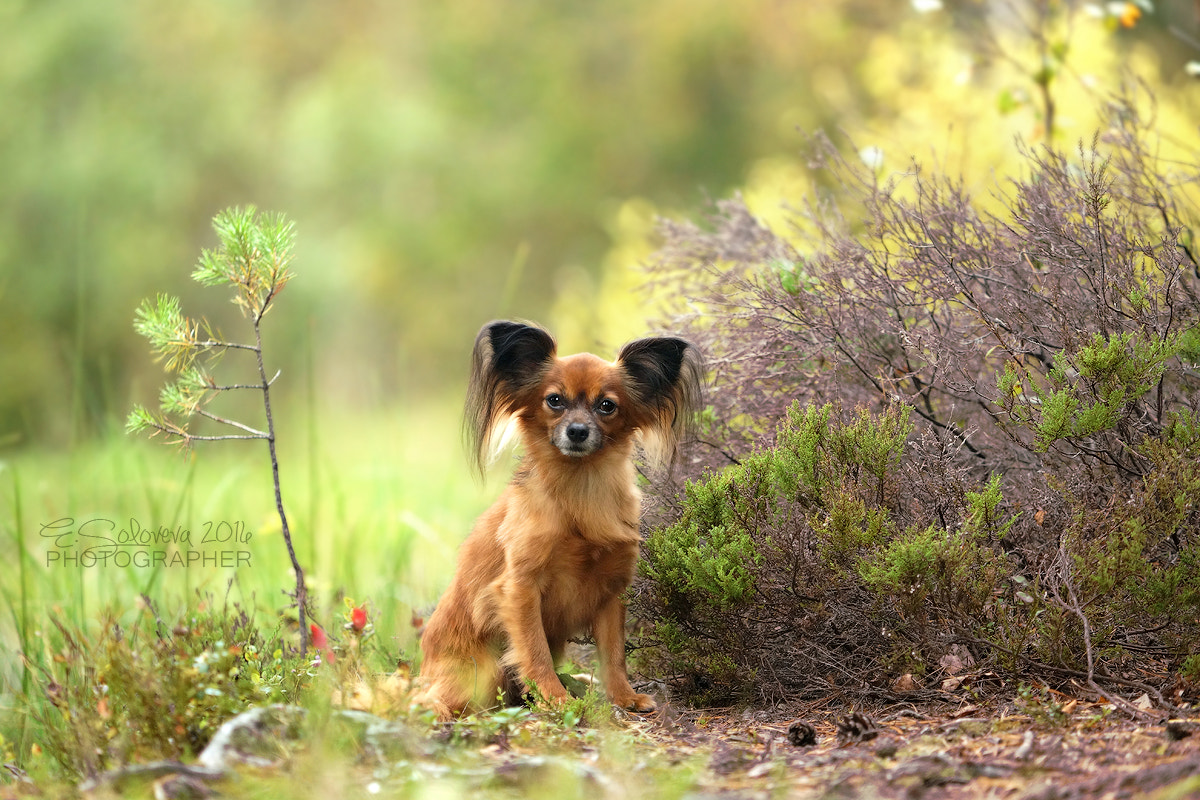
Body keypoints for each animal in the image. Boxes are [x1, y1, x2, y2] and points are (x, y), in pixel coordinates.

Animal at [417, 321, 700, 719]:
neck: (579, 490)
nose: (577, 431)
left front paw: (623, 696)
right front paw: (555, 699)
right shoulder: (520, 589)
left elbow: (614, 653)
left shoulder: (611, 591)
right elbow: (535, 652)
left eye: (607, 405)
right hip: (481, 675)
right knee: (436, 700)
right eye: (554, 400)